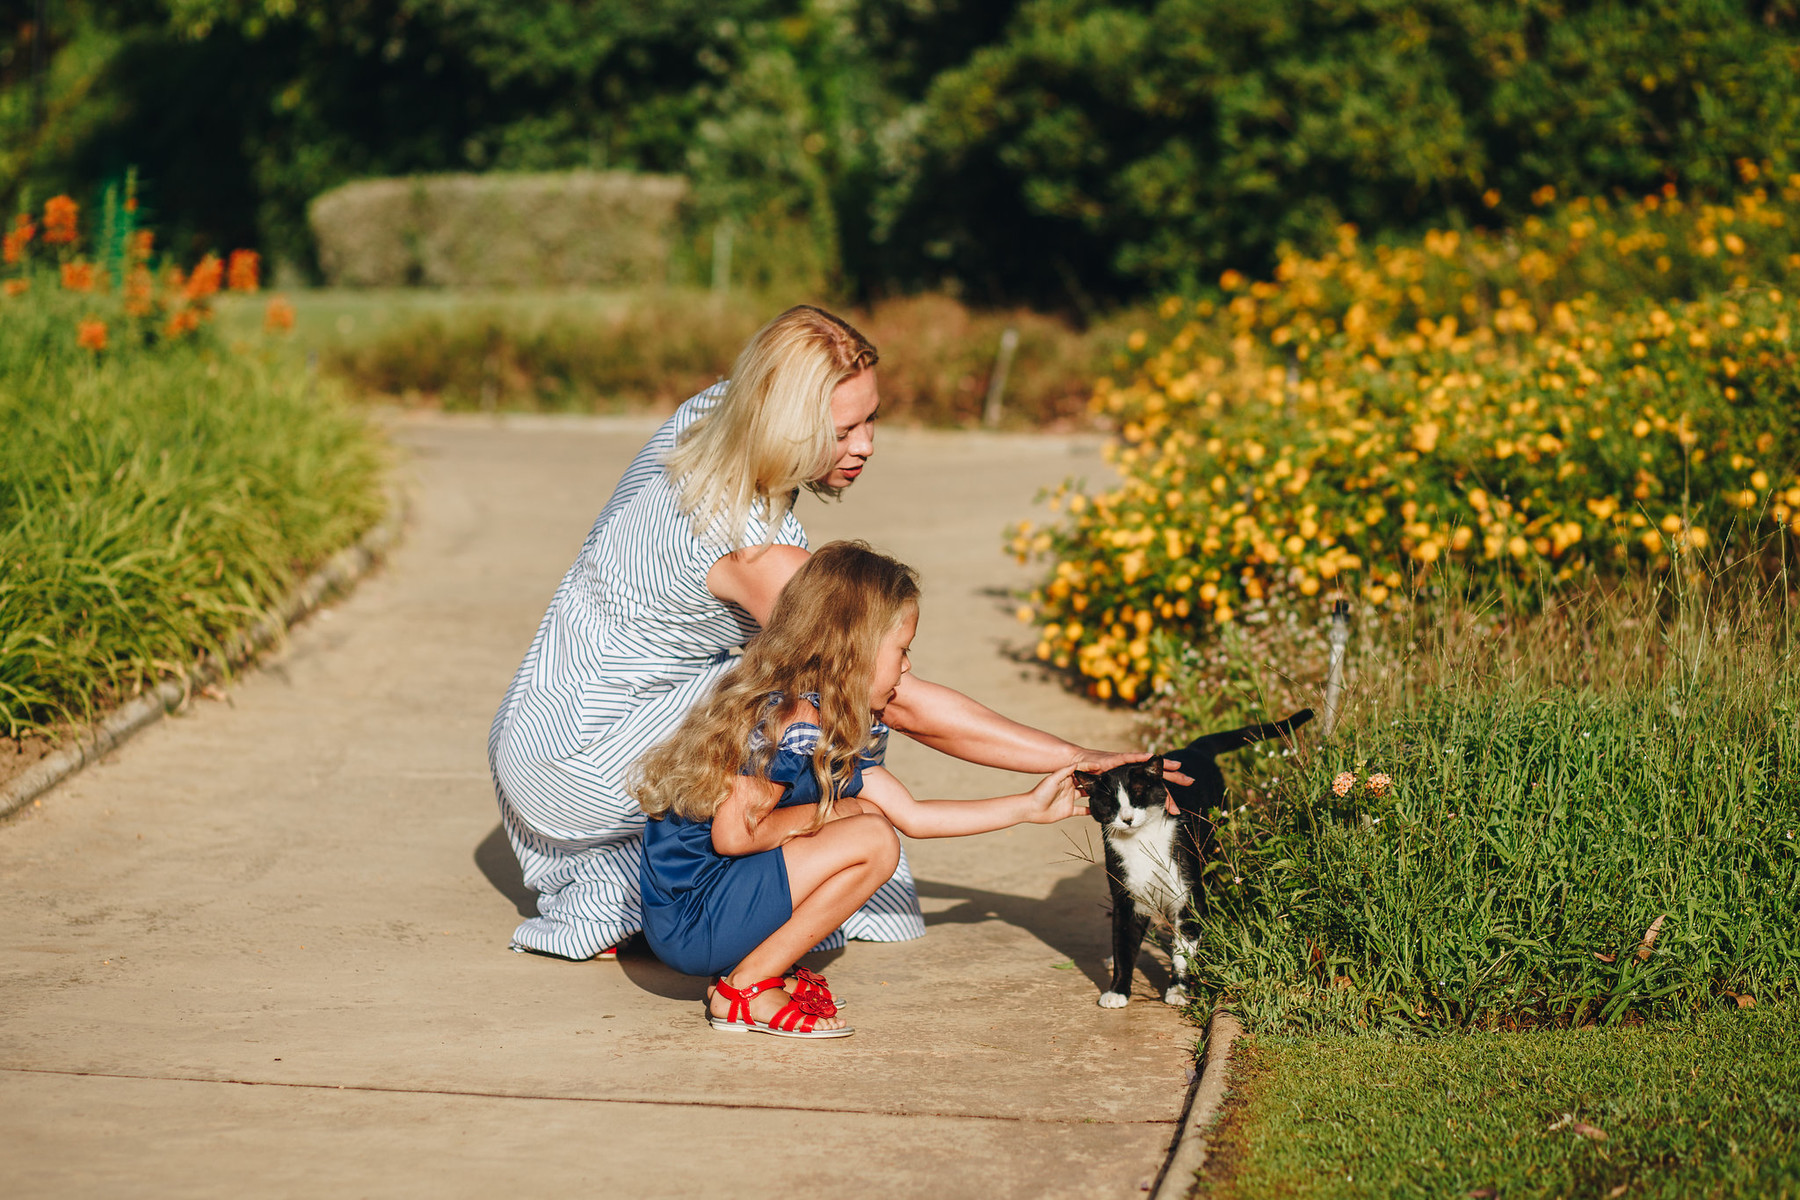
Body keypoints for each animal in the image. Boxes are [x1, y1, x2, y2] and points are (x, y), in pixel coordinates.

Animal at [1072, 708, 1317, 1007]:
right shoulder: (1126, 895)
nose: (1127, 819)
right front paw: (1117, 990)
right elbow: (1123, 946)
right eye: (1110, 804)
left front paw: (1178, 990)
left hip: (1208, 850)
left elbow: (1184, 948)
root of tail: (1193, 748)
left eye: (1138, 795)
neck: (1141, 841)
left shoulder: (1186, 892)